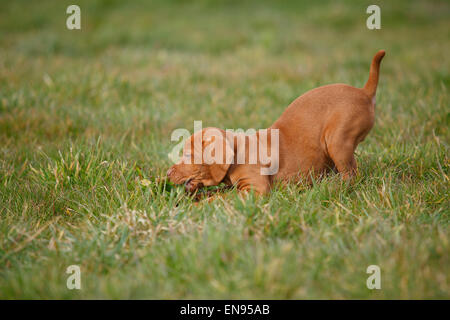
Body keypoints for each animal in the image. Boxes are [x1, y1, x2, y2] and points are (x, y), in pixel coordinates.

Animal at [167, 50, 384, 195]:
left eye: (188, 155)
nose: (168, 172)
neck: (238, 154)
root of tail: (364, 92)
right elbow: (218, 191)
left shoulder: (254, 190)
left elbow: (222, 199)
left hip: (338, 140)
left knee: (351, 175)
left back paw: (332, 187)